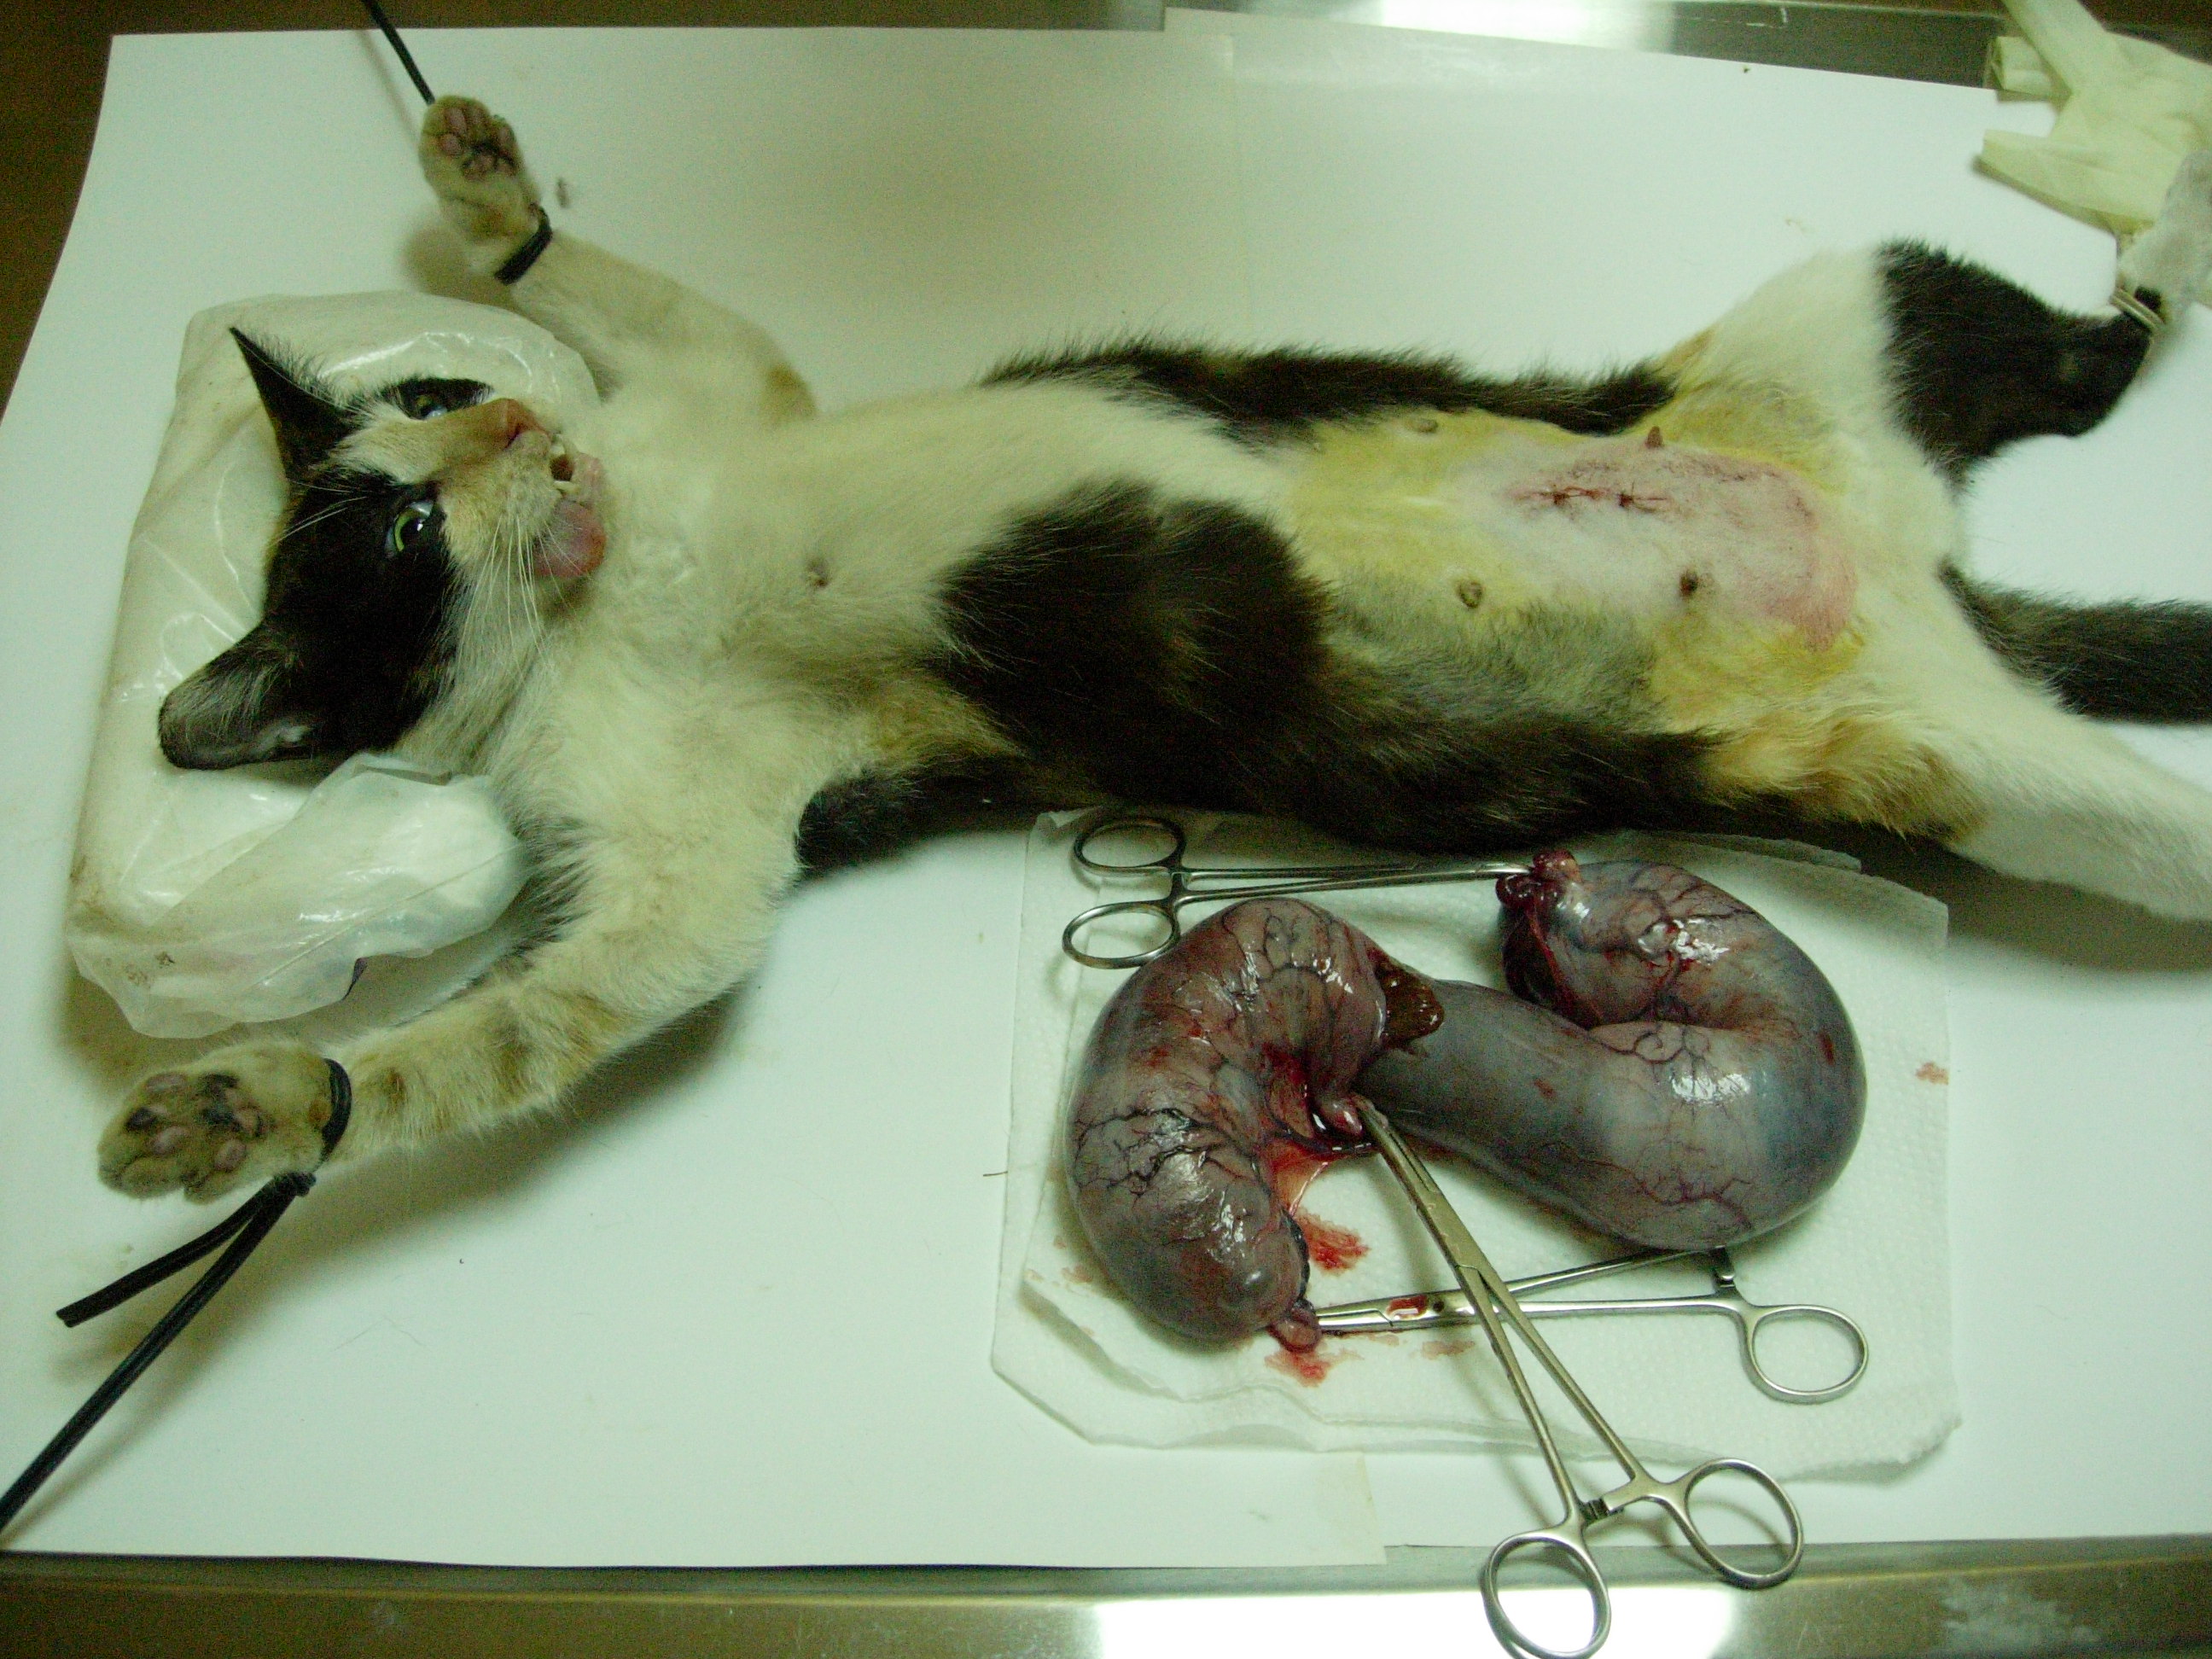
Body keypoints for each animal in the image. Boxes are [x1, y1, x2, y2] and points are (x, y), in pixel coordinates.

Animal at [99, 94, 2212, 1202]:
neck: (622, 566)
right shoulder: (674, 875)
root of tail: (1914, 556)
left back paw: (2155, 220)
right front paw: (275, 1099)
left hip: (1851, 307)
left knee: (2095, 350)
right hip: (2002, 771)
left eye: (439, 395)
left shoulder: (722, 381)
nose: (522, 430)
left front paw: (486, 188)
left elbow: (624, 285)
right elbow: (537, 1017)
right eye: (393, 528)